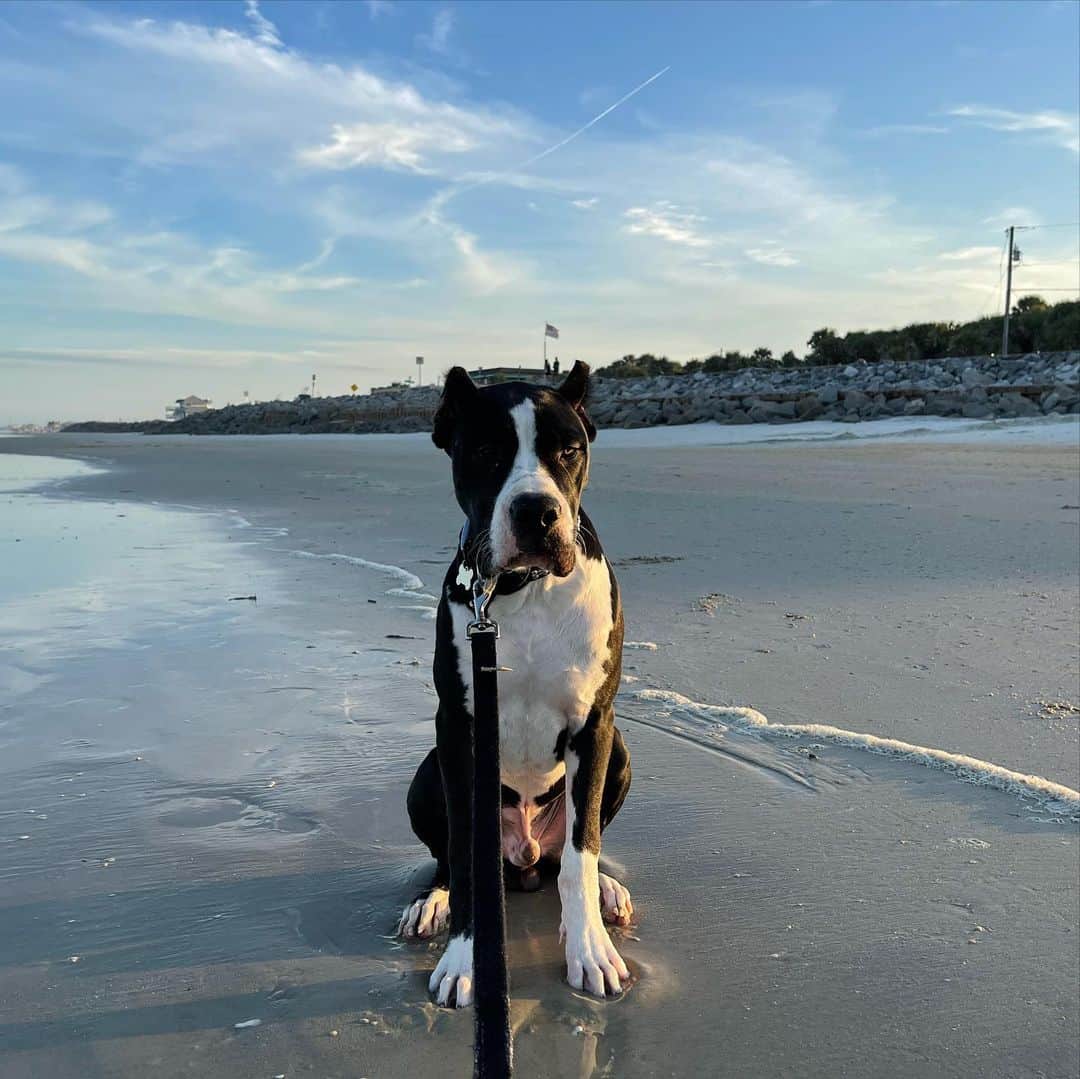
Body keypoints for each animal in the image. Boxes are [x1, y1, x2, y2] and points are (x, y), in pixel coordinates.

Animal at [397, 360, 630, 1002]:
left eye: (569, 450)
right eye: (483, 450)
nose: (536, 513)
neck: (522, 588)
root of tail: (524, 859)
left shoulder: (594, 725)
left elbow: (581, 854)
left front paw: (589, 948)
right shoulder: (457, 728)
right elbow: (464, 853)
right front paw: (465, 958)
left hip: (620, 753)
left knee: (579, 847)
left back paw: (608, 890)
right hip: (427, 773)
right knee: (449, 859)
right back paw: (431, 902)